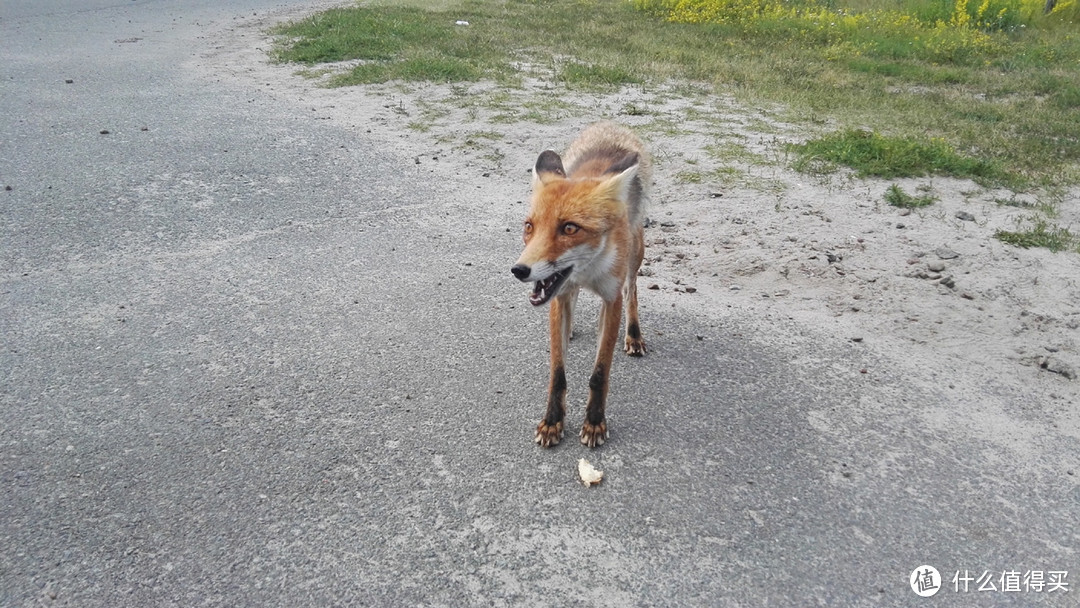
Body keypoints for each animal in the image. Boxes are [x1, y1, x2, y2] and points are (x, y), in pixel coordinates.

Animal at [511, 122, 652, 447]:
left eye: (569, 228)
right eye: (529, 227)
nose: (519, 270)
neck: (587, 272)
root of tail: (611, 125)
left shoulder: (611, 298)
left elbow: (600, 373)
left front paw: (595, 422)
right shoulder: (557, 298)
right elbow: (557, 373)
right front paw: (552, 421)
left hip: (635, 256)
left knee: (632, 292)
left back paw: (633, 334)